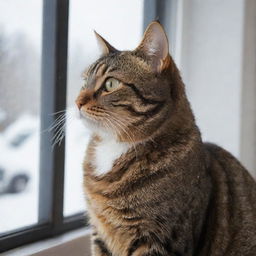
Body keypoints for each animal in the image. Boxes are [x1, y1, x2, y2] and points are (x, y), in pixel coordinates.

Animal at [75, 22, 256, 256]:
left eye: (111, 84)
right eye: (83, 81)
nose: (77, 102)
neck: (115, 146)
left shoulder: (160, 239)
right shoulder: (100, 233)